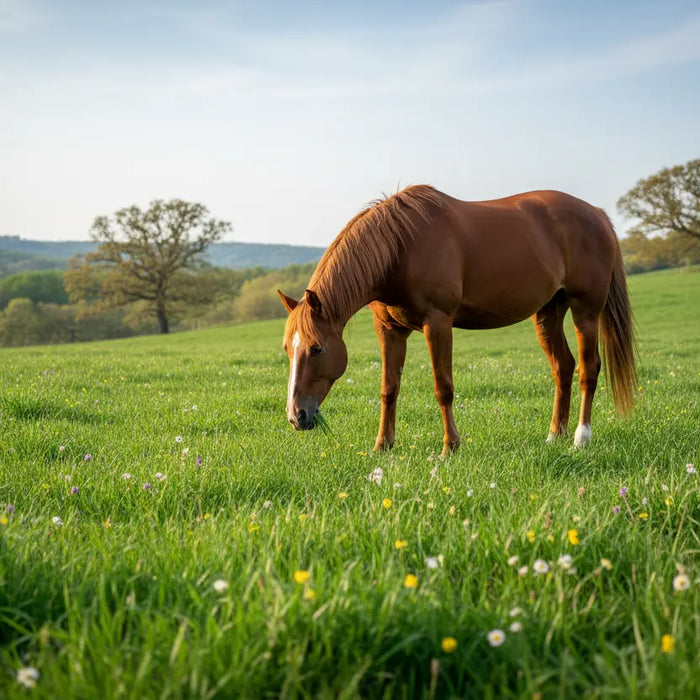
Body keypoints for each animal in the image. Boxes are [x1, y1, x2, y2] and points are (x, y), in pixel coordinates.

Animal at [278, 185, 636, 456]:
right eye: (287, 349)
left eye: (317, 348)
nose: (297, 417)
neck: (400, 249)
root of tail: (597, 214)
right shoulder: (390, 330)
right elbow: (389, 389)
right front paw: (383, 446)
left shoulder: (437, 323)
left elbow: (443, 387)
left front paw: (450, 447)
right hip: (548, 312)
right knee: (563, 367)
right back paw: (553, 436)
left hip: (586, 310)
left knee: (588, 369)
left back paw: (580, 438)